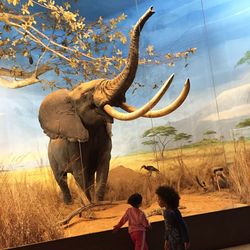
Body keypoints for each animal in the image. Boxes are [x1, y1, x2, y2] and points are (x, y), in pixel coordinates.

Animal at [38, 6, 191, 205]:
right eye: (86, 96)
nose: (151, 9)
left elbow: (103, 169)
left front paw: (100, 203)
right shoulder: (73, 142)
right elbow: (80, 173)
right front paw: (91, 206)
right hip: (51, 155)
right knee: (61, 178)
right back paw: (69, 204)